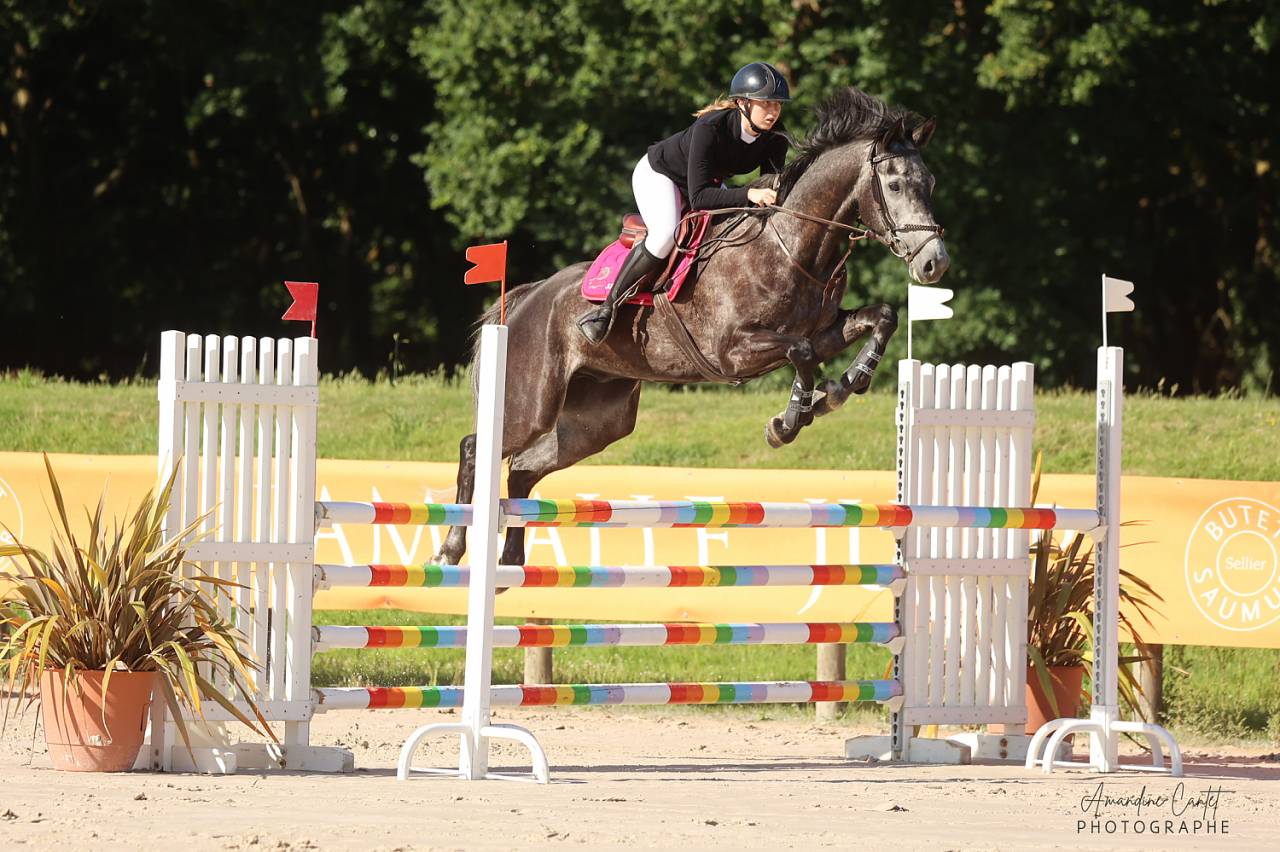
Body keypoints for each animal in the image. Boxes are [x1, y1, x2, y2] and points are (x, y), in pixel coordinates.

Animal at [436, 87, 950, 568]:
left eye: (929, 182)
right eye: (895, 185)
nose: (934, 264)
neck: (793, 245)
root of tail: (528, 297)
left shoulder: (821, 330)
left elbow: (880, 317)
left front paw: (841, 387)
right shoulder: (732, 352)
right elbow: (800, 353)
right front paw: (789, 421)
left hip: (598, 420)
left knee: (524, 467)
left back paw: (510, 561)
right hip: (532, 404)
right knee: (475, 448)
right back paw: (450, 549)